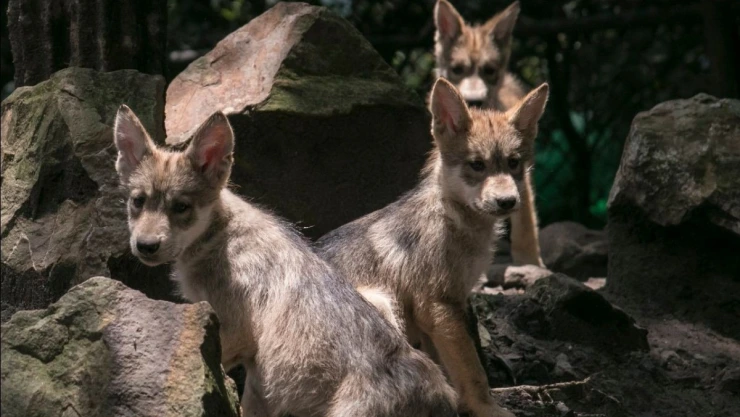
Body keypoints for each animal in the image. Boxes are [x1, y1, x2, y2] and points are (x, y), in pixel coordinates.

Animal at [112, 106, 458, 417]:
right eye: (138, 202)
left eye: (181, 207)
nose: (146, 246)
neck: (218, 236)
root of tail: (440, 397)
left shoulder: (233, 331)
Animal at [318, 78, 549, 417]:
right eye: (477, 165)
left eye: (514, 163)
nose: (507, 202)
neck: (456, 223)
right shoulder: (438, 306)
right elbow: (474, 373)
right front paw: (487, 409)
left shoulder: (444, 309)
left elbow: (453, 369)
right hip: (380, 302)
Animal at [434, 0, 543, 266]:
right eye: (457, 69)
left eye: (489, 70)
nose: (473, 100)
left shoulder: (521, 177)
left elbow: (526, 227)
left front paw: (530, 264)